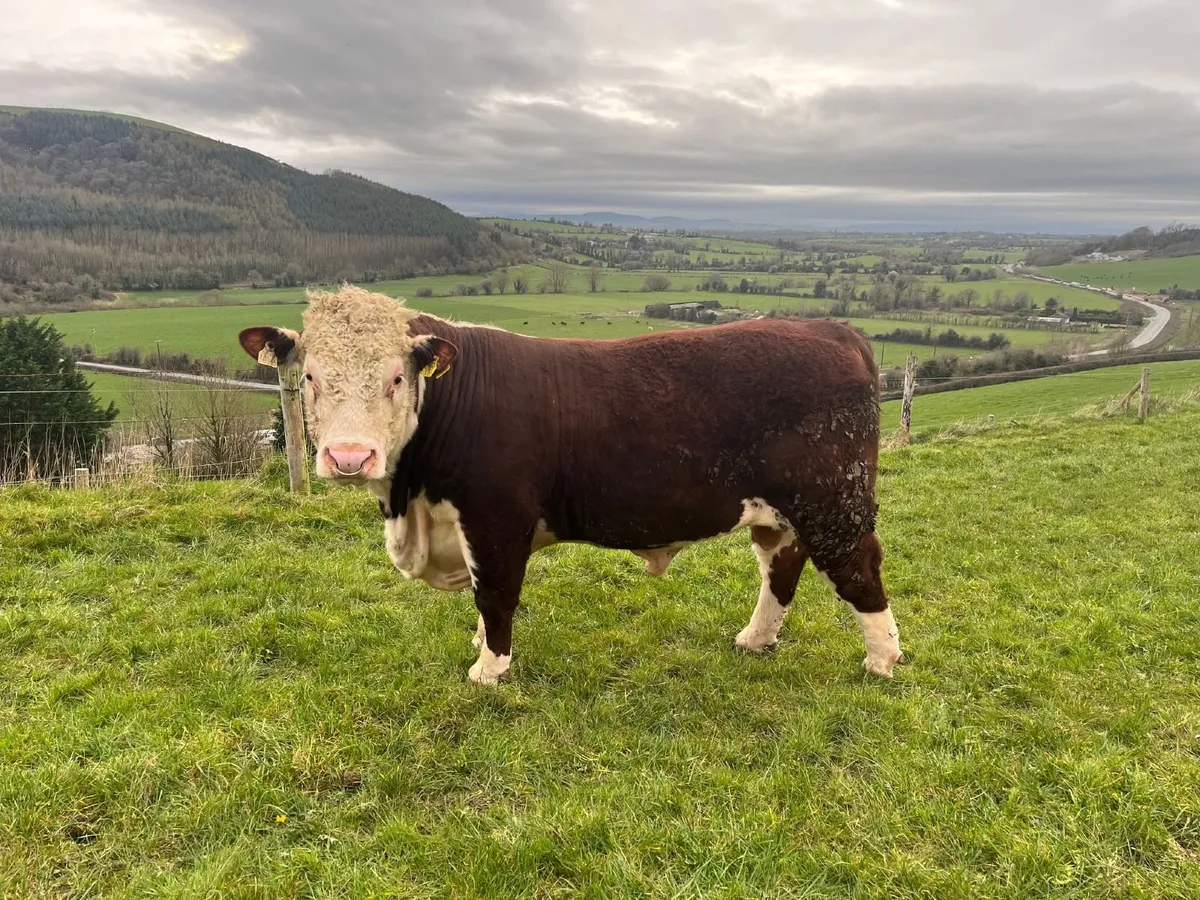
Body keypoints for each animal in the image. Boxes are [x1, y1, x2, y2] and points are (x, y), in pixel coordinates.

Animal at [238, 286, 901, 685]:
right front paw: (479, 648)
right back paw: (755, 639)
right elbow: (481, 595)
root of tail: (833, 331)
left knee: (858, 568)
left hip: (833, 500)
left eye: (396, 378)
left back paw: (882, 660)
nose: (350, 457)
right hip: (780, 510)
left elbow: (494, 593)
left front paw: (490, 670)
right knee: (780, 567)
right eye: (311, 376)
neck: (413, 506)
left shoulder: (496, 517)